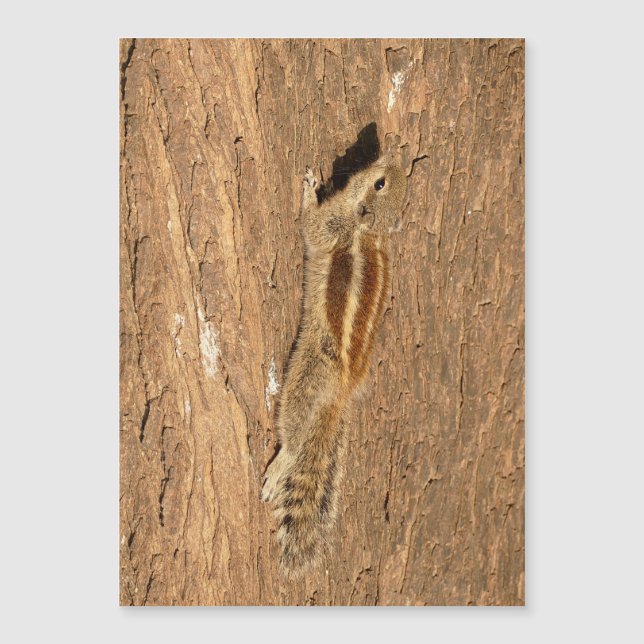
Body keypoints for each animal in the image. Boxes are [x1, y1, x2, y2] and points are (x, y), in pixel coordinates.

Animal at [261, 152, 408, 577]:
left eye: (379, 184)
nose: (394, 155)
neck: (367, 229)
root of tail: (339, 395)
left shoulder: (331, 226)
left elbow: (310, 225)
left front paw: (309, 190)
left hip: (305, 374)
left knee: (294, 427)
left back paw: (280, 462)